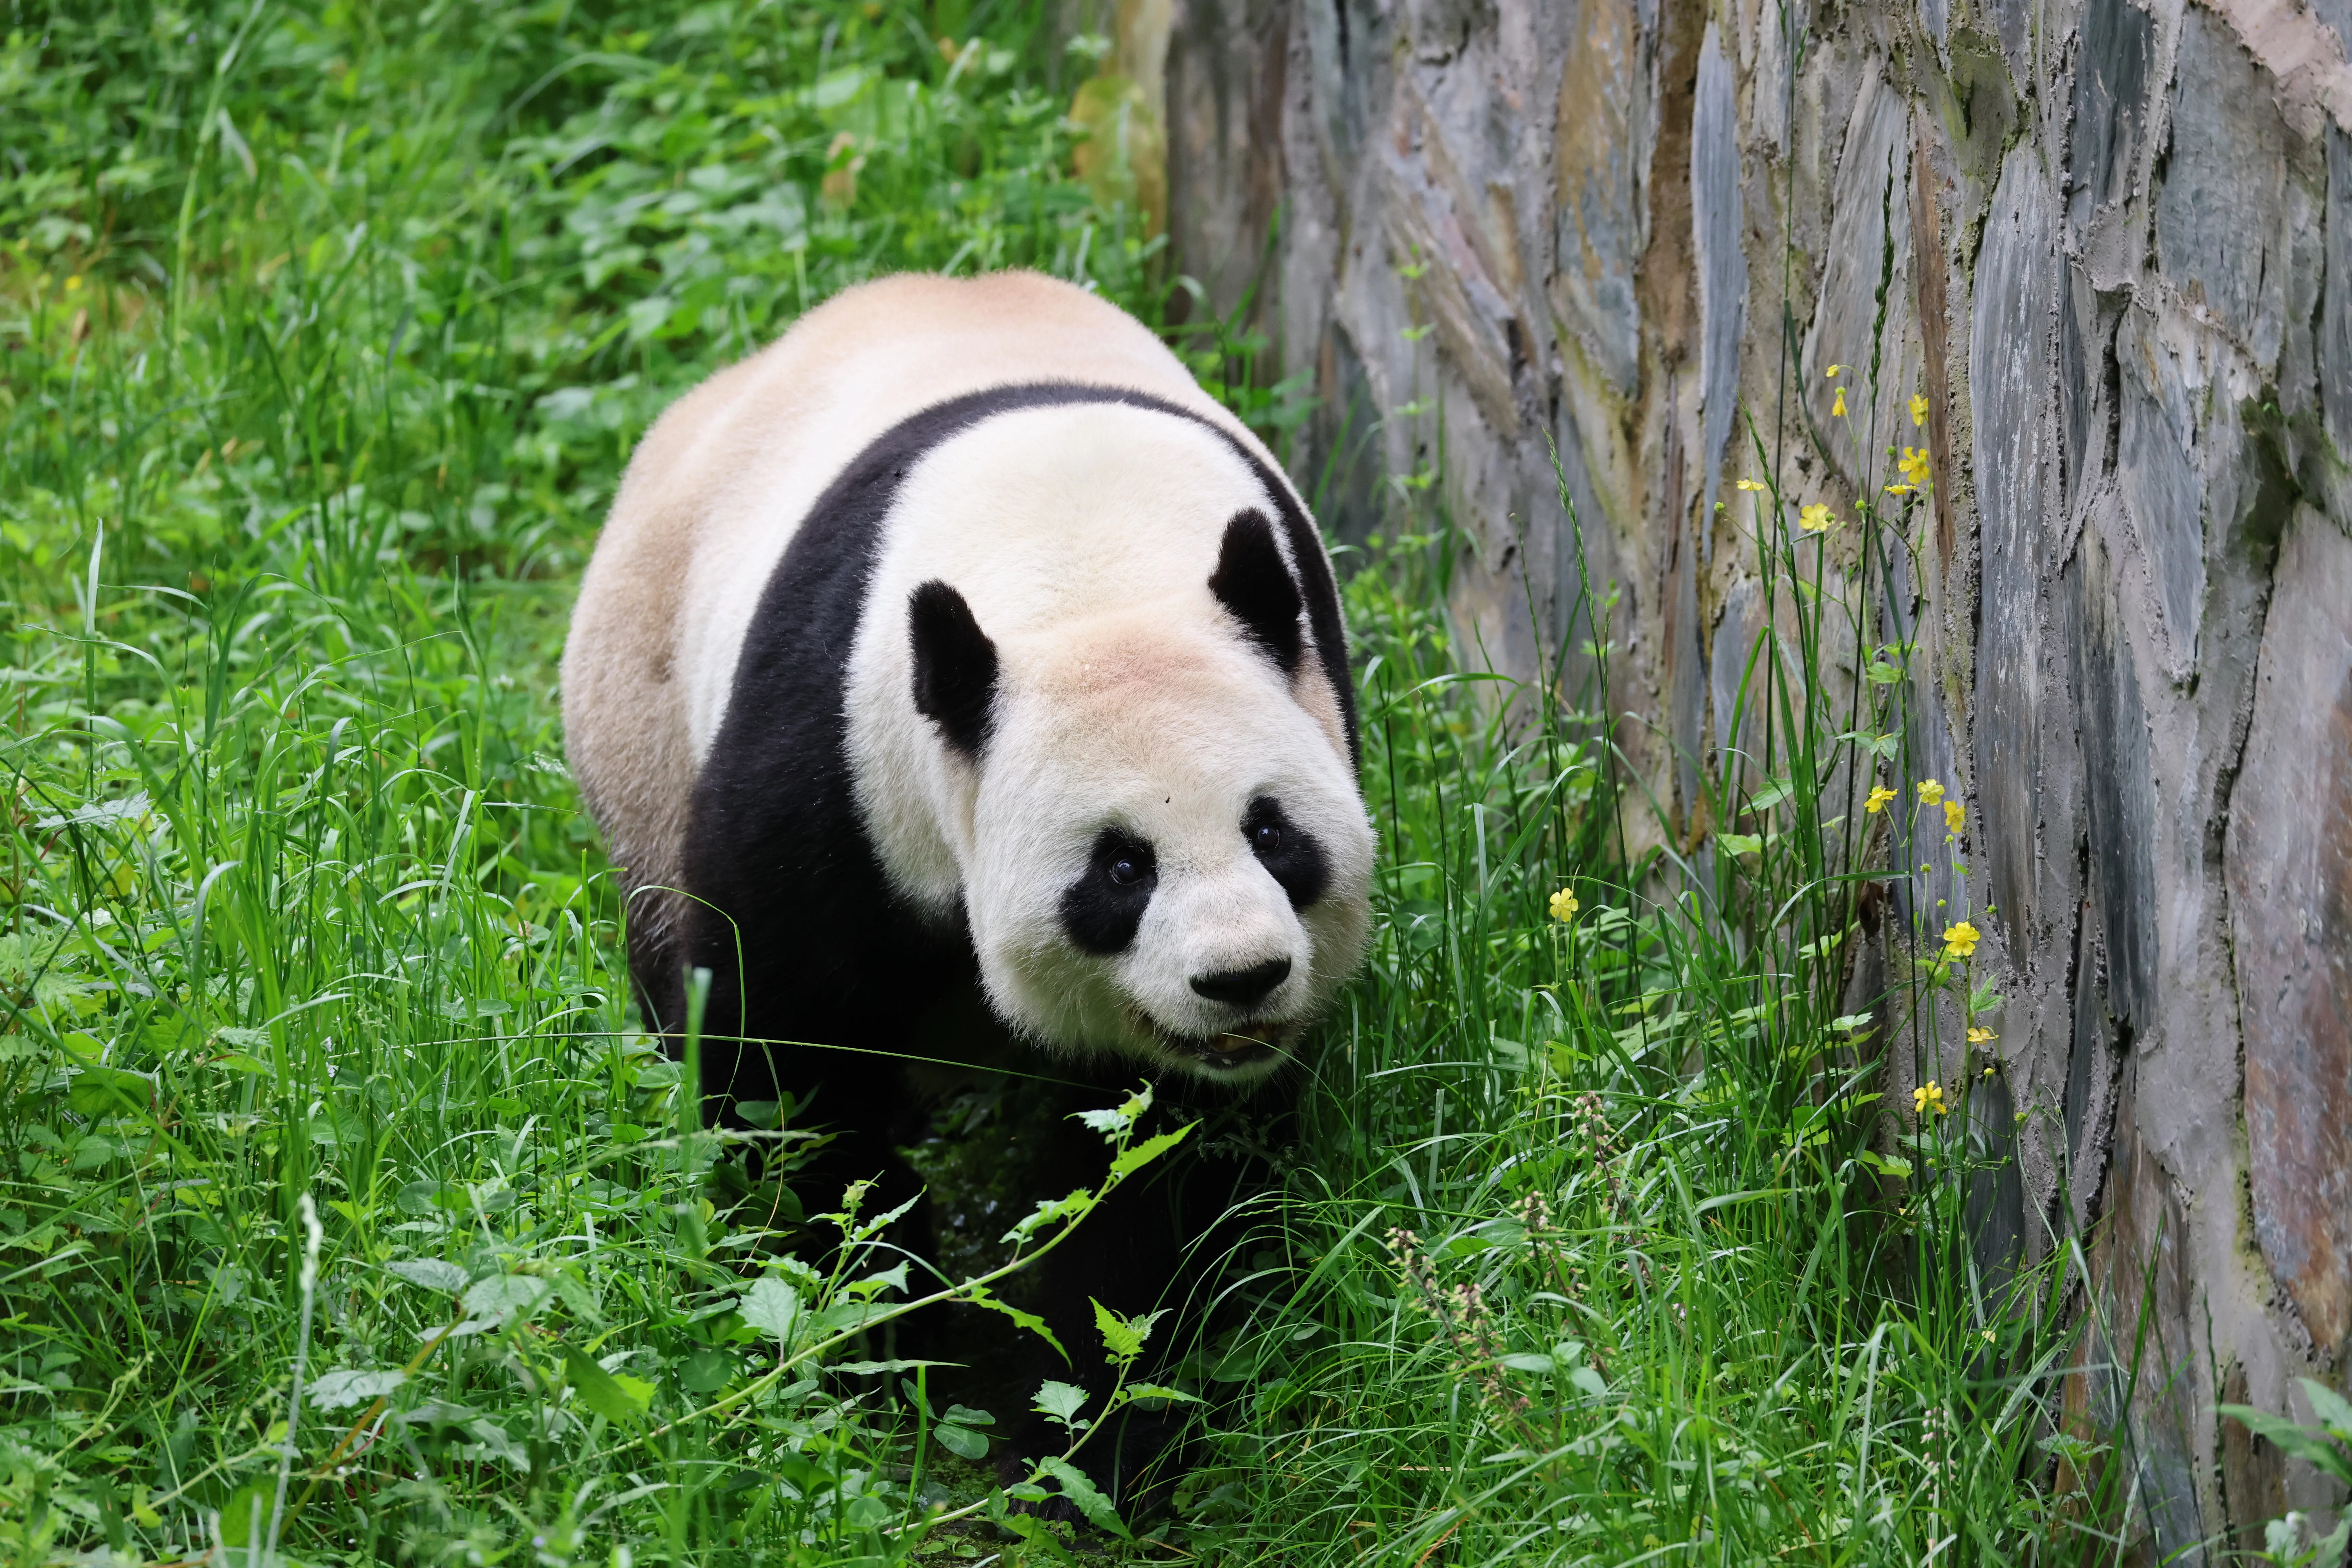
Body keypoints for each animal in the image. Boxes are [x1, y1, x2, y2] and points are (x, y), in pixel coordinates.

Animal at [560, 270, 1375, 1499]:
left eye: (1274, 833)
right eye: (1120, 868)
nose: (1242, 979)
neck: (1086, 566)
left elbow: (1153, 1157)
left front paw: (1106, 1422)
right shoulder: (839, 758)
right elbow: (787, 1060)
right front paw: (877, 1340)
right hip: (642, 716)